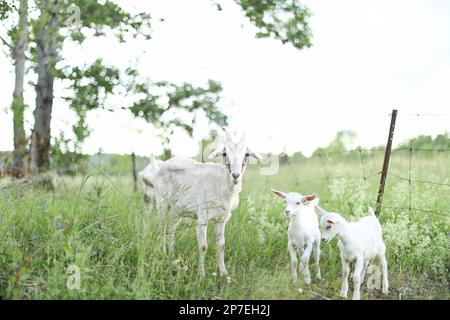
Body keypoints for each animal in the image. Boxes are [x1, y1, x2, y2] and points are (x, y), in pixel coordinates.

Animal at [140, 129, 260, 276]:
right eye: (225, 153)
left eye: (246, 154)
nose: (236, 175)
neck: (221, 183)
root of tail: (161, 166)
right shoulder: (202, 217)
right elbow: (203, 246)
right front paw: (201, 275)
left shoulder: (221, 219)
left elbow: (221, 245)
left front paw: (224, 273)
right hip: (161, 202)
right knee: (162, 227)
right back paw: (163, 254)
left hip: (176, 210)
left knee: (171, 231)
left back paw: (171, 256)